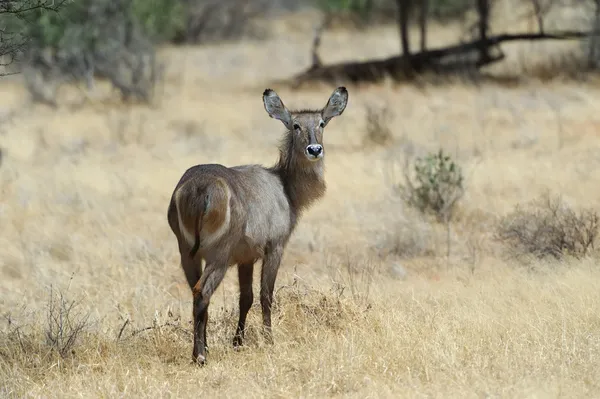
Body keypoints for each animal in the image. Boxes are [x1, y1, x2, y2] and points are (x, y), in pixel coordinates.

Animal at [166, 86, 350, 366]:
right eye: (295, 125)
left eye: (321, 123)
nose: (315, 149)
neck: (284, 186)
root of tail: (200, 187)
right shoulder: (275, 247)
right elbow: (266, 295)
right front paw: (269, 340)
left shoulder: (245, 258)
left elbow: (246, 298)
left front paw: (238, 342)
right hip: (219, 256)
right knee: (202, 291)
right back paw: (200, 356)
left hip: (187, 253)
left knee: (196, 292)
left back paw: (202, 348)